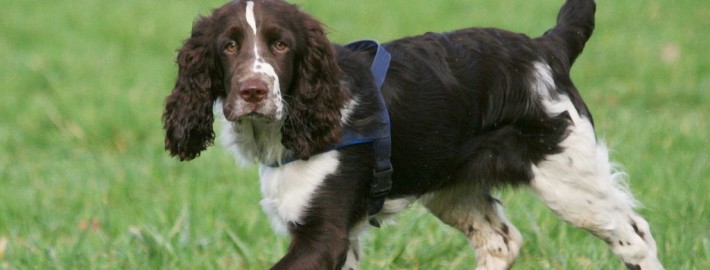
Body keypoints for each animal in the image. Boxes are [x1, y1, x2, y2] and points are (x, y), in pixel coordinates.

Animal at [164, 0, 664, 268]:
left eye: (281, 45)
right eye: (228, 46)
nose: (253, 91)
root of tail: (546, 47)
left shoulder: (323, 234)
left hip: (568, 178)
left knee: (635, 235)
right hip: (453, 191)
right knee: (501, 241)